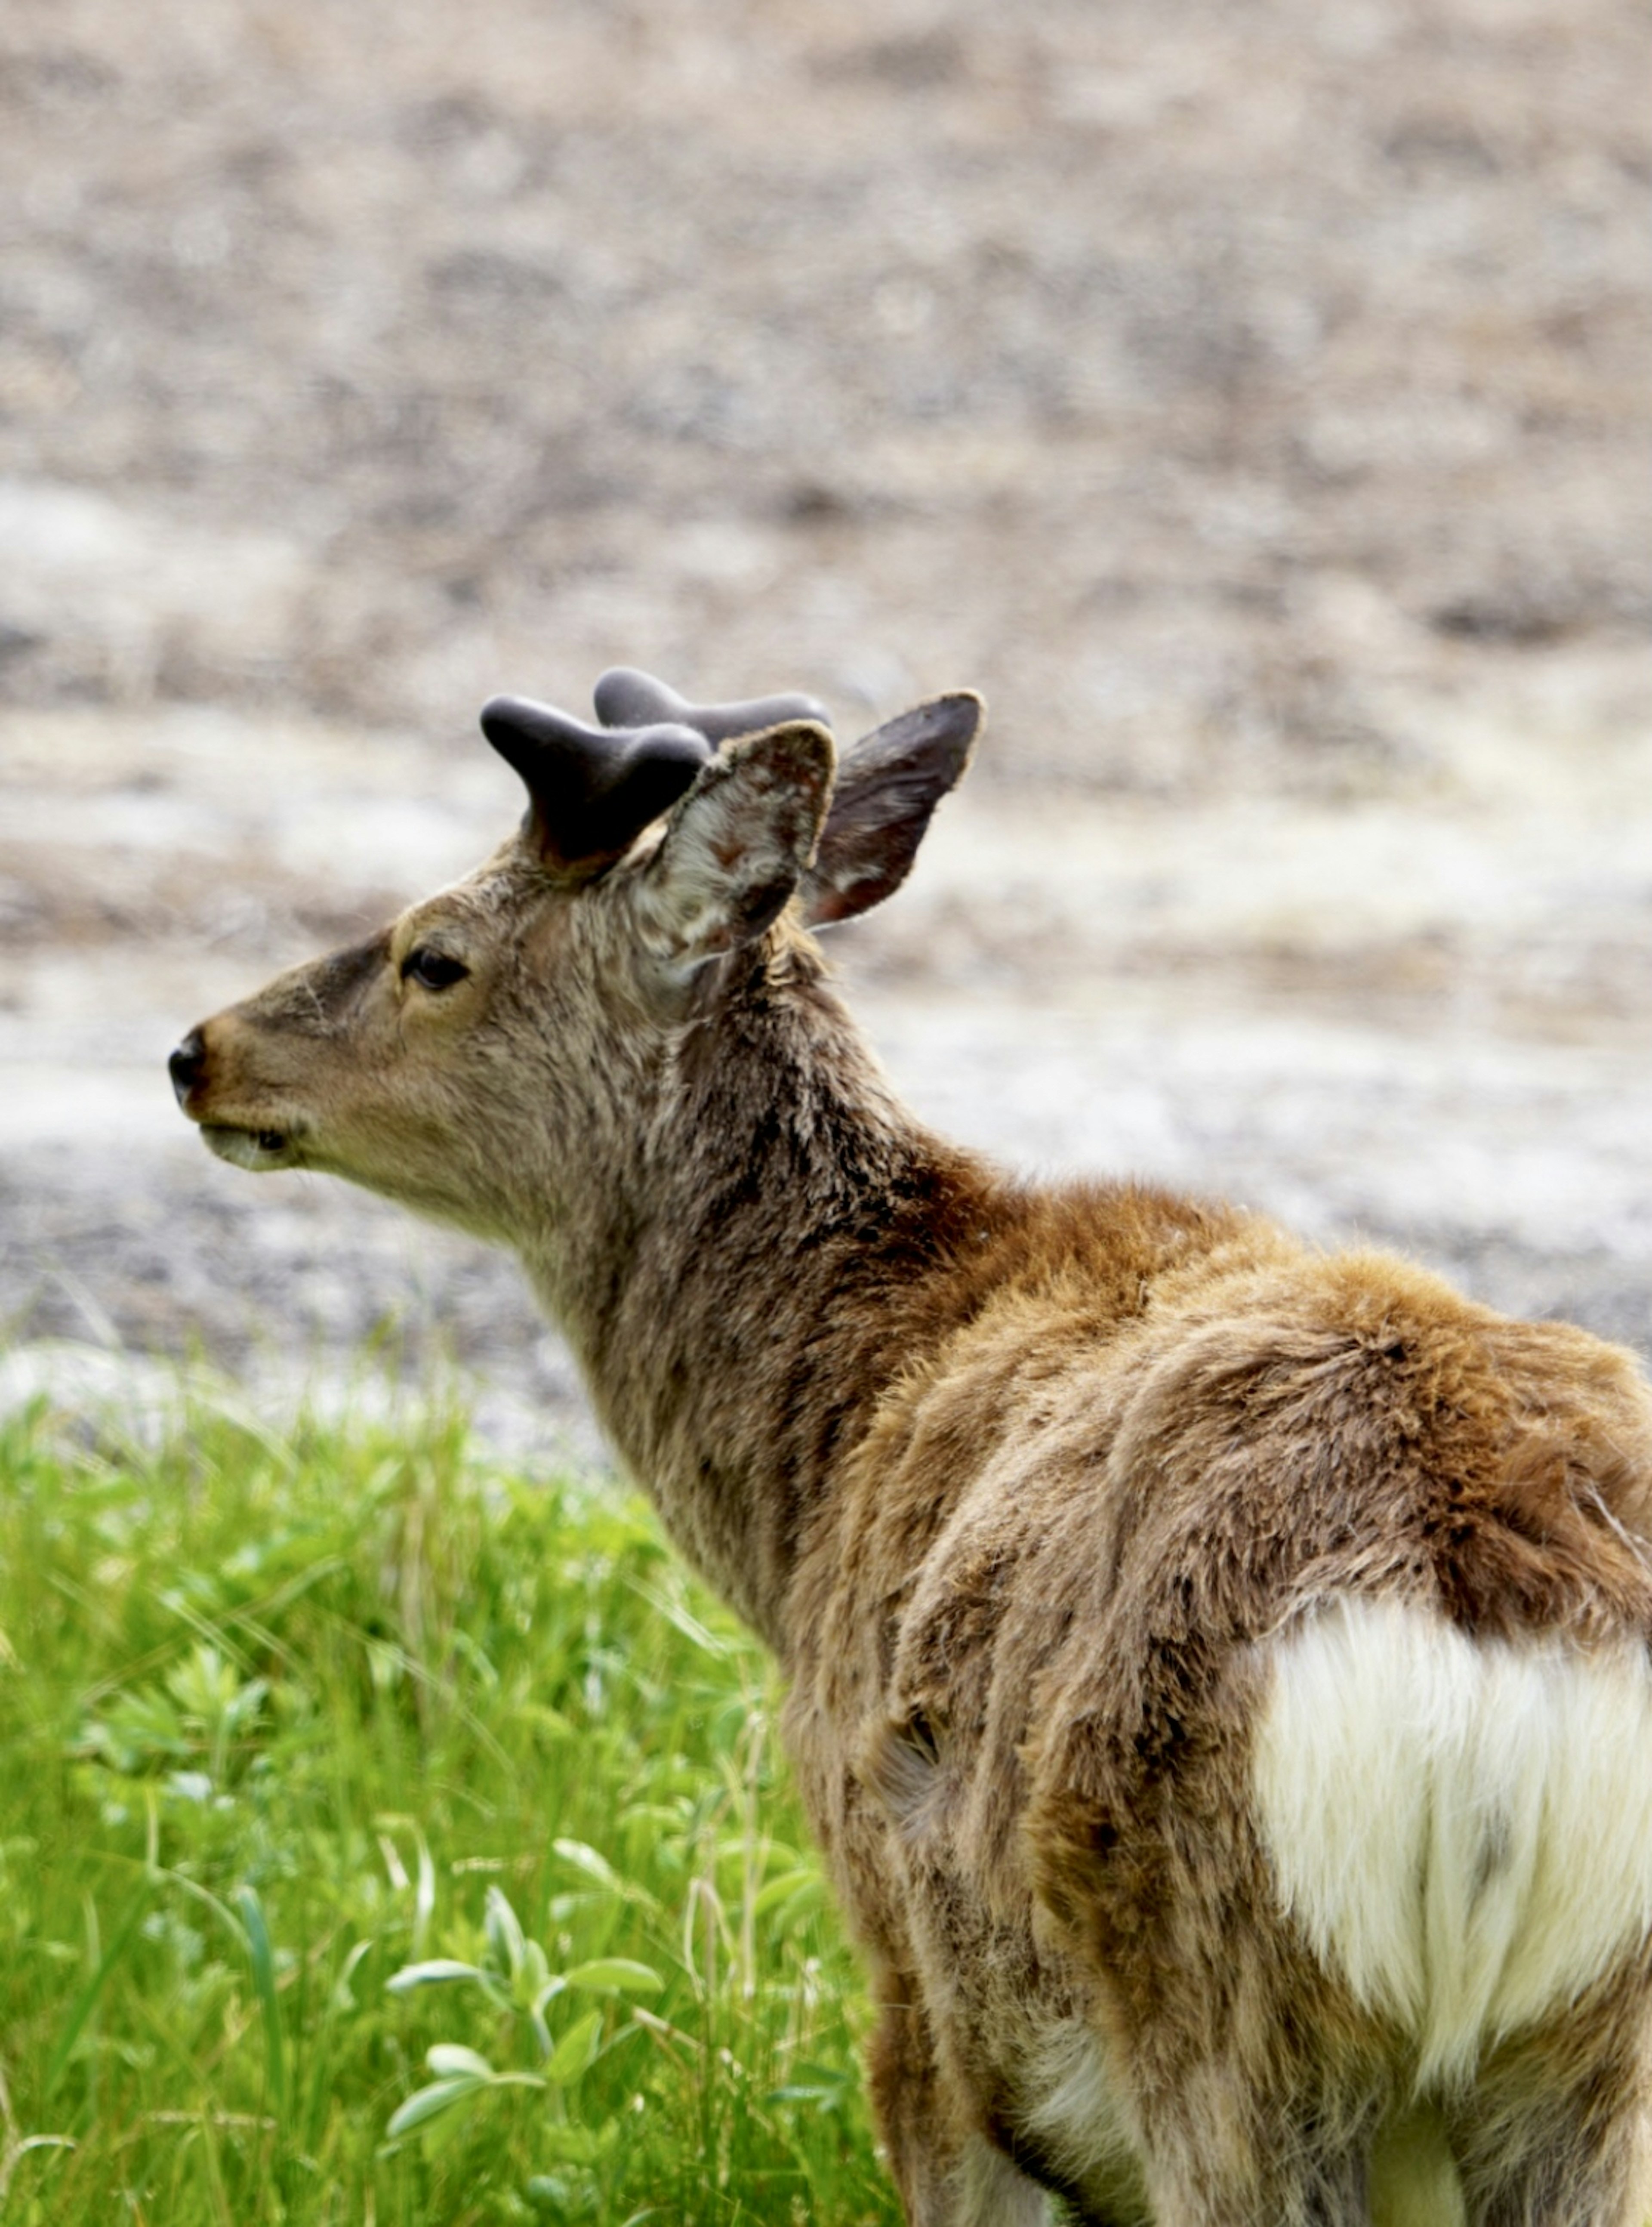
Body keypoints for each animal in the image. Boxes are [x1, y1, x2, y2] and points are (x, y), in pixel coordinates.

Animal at [171, 677, 1652, 2227]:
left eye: (434, 954)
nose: (197, 1050)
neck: (818, 1470)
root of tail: (1493, 1644)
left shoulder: (911, 1982)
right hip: (1585, 2060)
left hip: (1221, 2004)